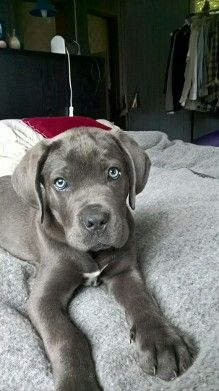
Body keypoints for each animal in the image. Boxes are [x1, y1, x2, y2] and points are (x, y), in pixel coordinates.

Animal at [0, 129, 193, 391]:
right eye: (60, 182)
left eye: (113, 172)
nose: (96, 220)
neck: (92, 254)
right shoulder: (43, 299)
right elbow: (65, 336)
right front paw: (76, 382)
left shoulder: (124, 271)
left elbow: (143, 301)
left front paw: (162, 342)